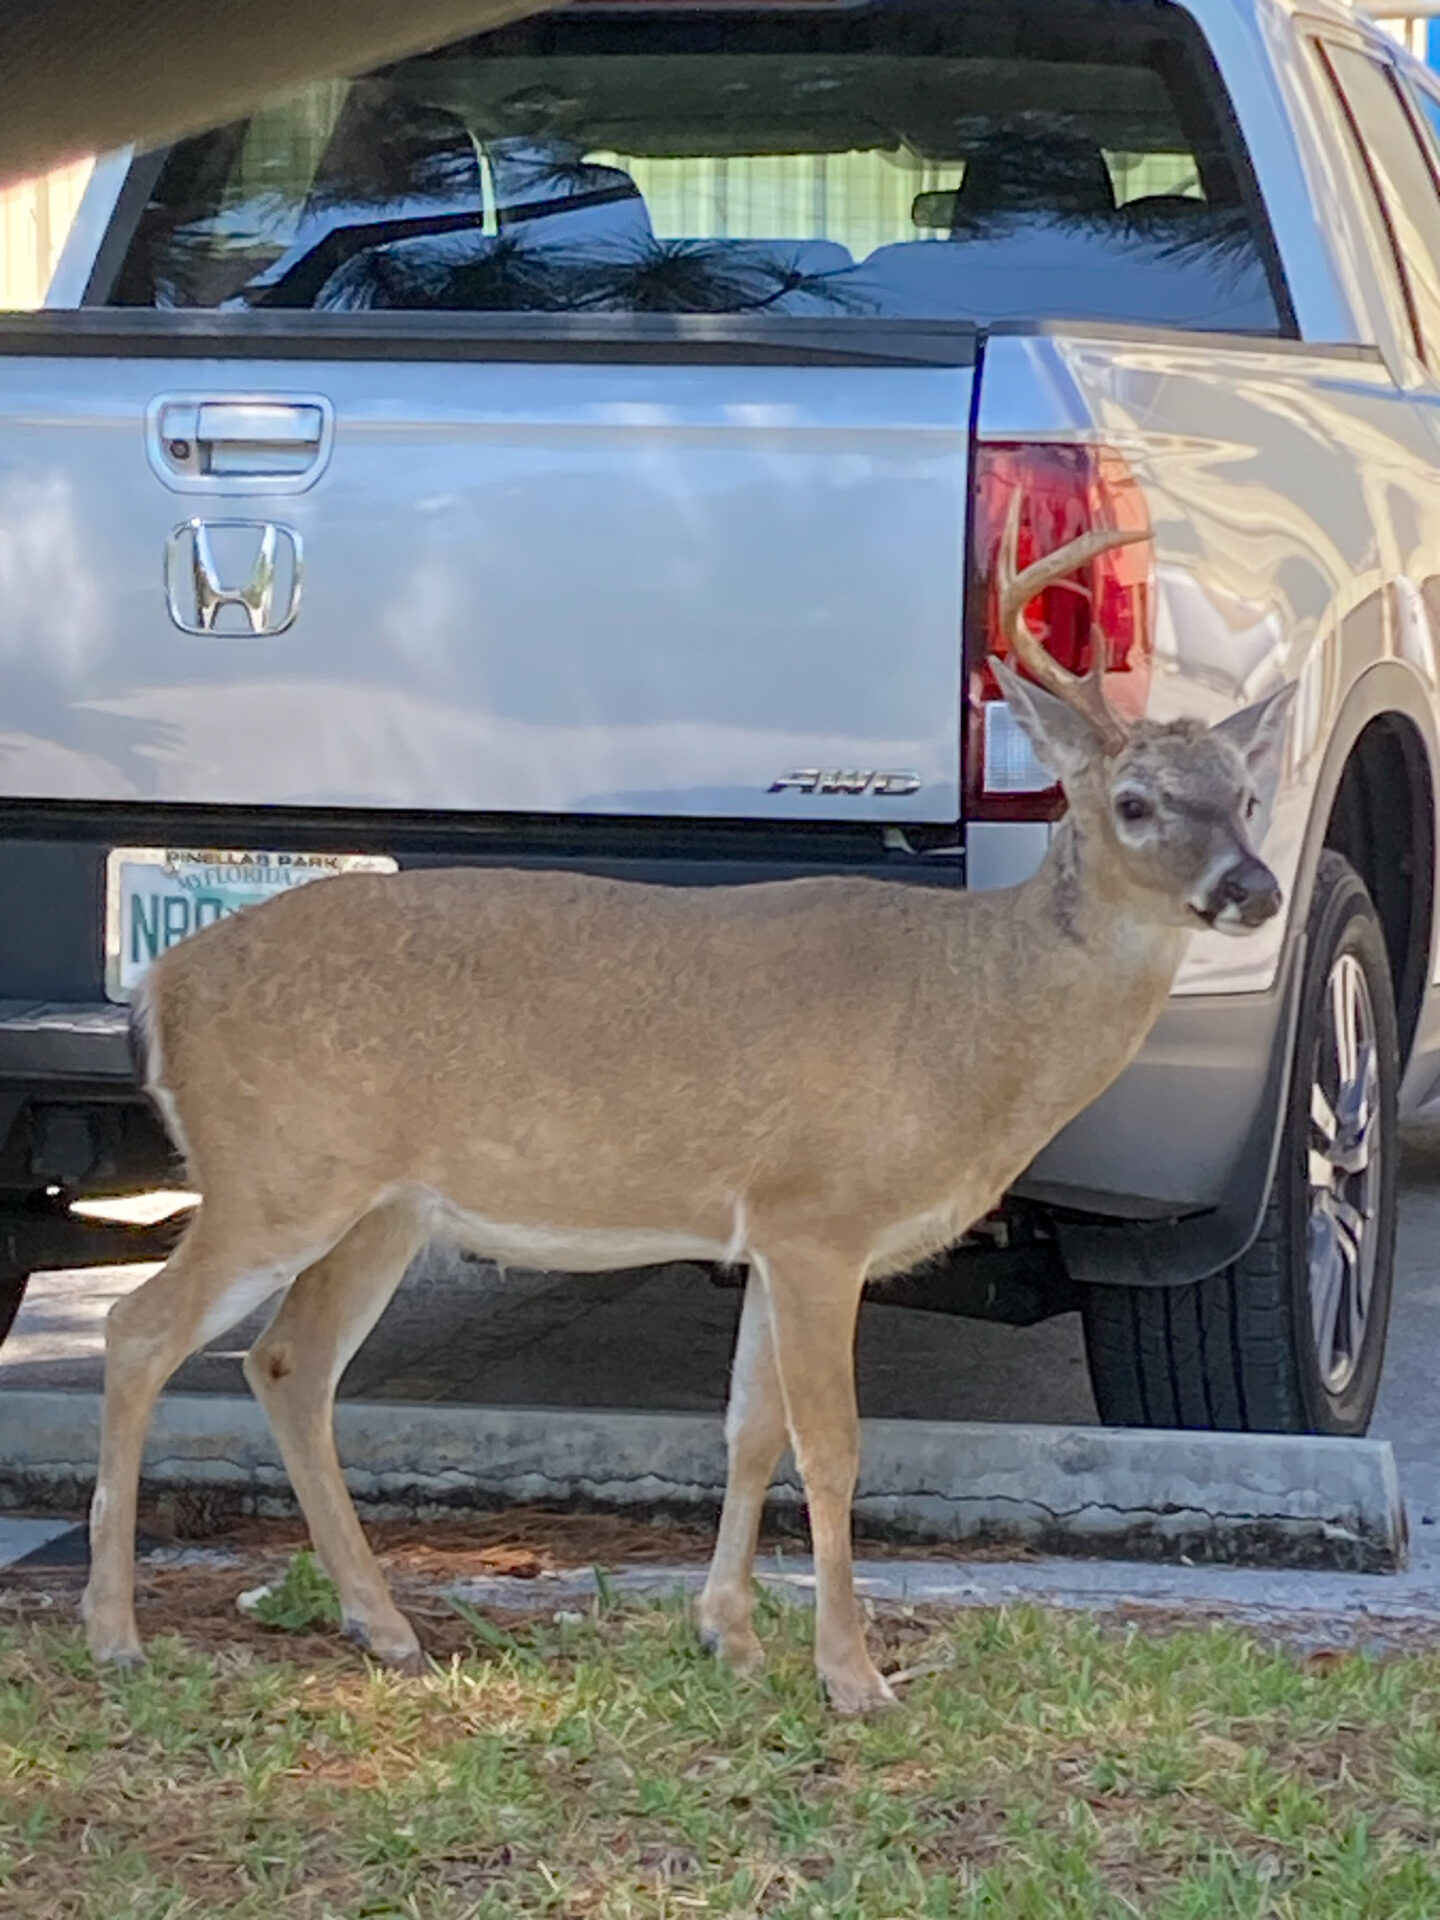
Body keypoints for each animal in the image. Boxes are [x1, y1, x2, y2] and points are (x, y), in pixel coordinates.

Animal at [81, 506, 1295, 1713]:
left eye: (1245, 797)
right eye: (1134, 803)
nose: (1255, 887)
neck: (970, 1017)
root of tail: (160, 989)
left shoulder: (767, 1231)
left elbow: (748, 1429)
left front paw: (732, 1638)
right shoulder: (822, 1216)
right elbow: (832, 1445)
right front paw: (853, 1677)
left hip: (379, 1209)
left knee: (288, 1367)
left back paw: (385, 1629)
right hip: (275, 1172)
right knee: (137, 1329)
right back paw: (116, 1633)